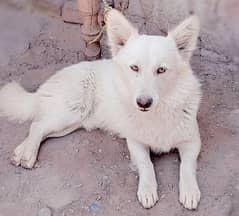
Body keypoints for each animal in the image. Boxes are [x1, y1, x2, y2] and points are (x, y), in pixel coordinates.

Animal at [0, 9, 202, 210]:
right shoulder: (135, 143)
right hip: (71, 112)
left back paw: (21, 152)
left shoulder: (192, 141)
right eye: (134, 68)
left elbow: (186, 166)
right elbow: (147, 165)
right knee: (37, 126)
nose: (143, 103)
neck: (157, 113)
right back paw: (28, 154)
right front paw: (147, 189)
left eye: (161, 70)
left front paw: (190, 190)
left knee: (40, 127)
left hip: (71, 124)